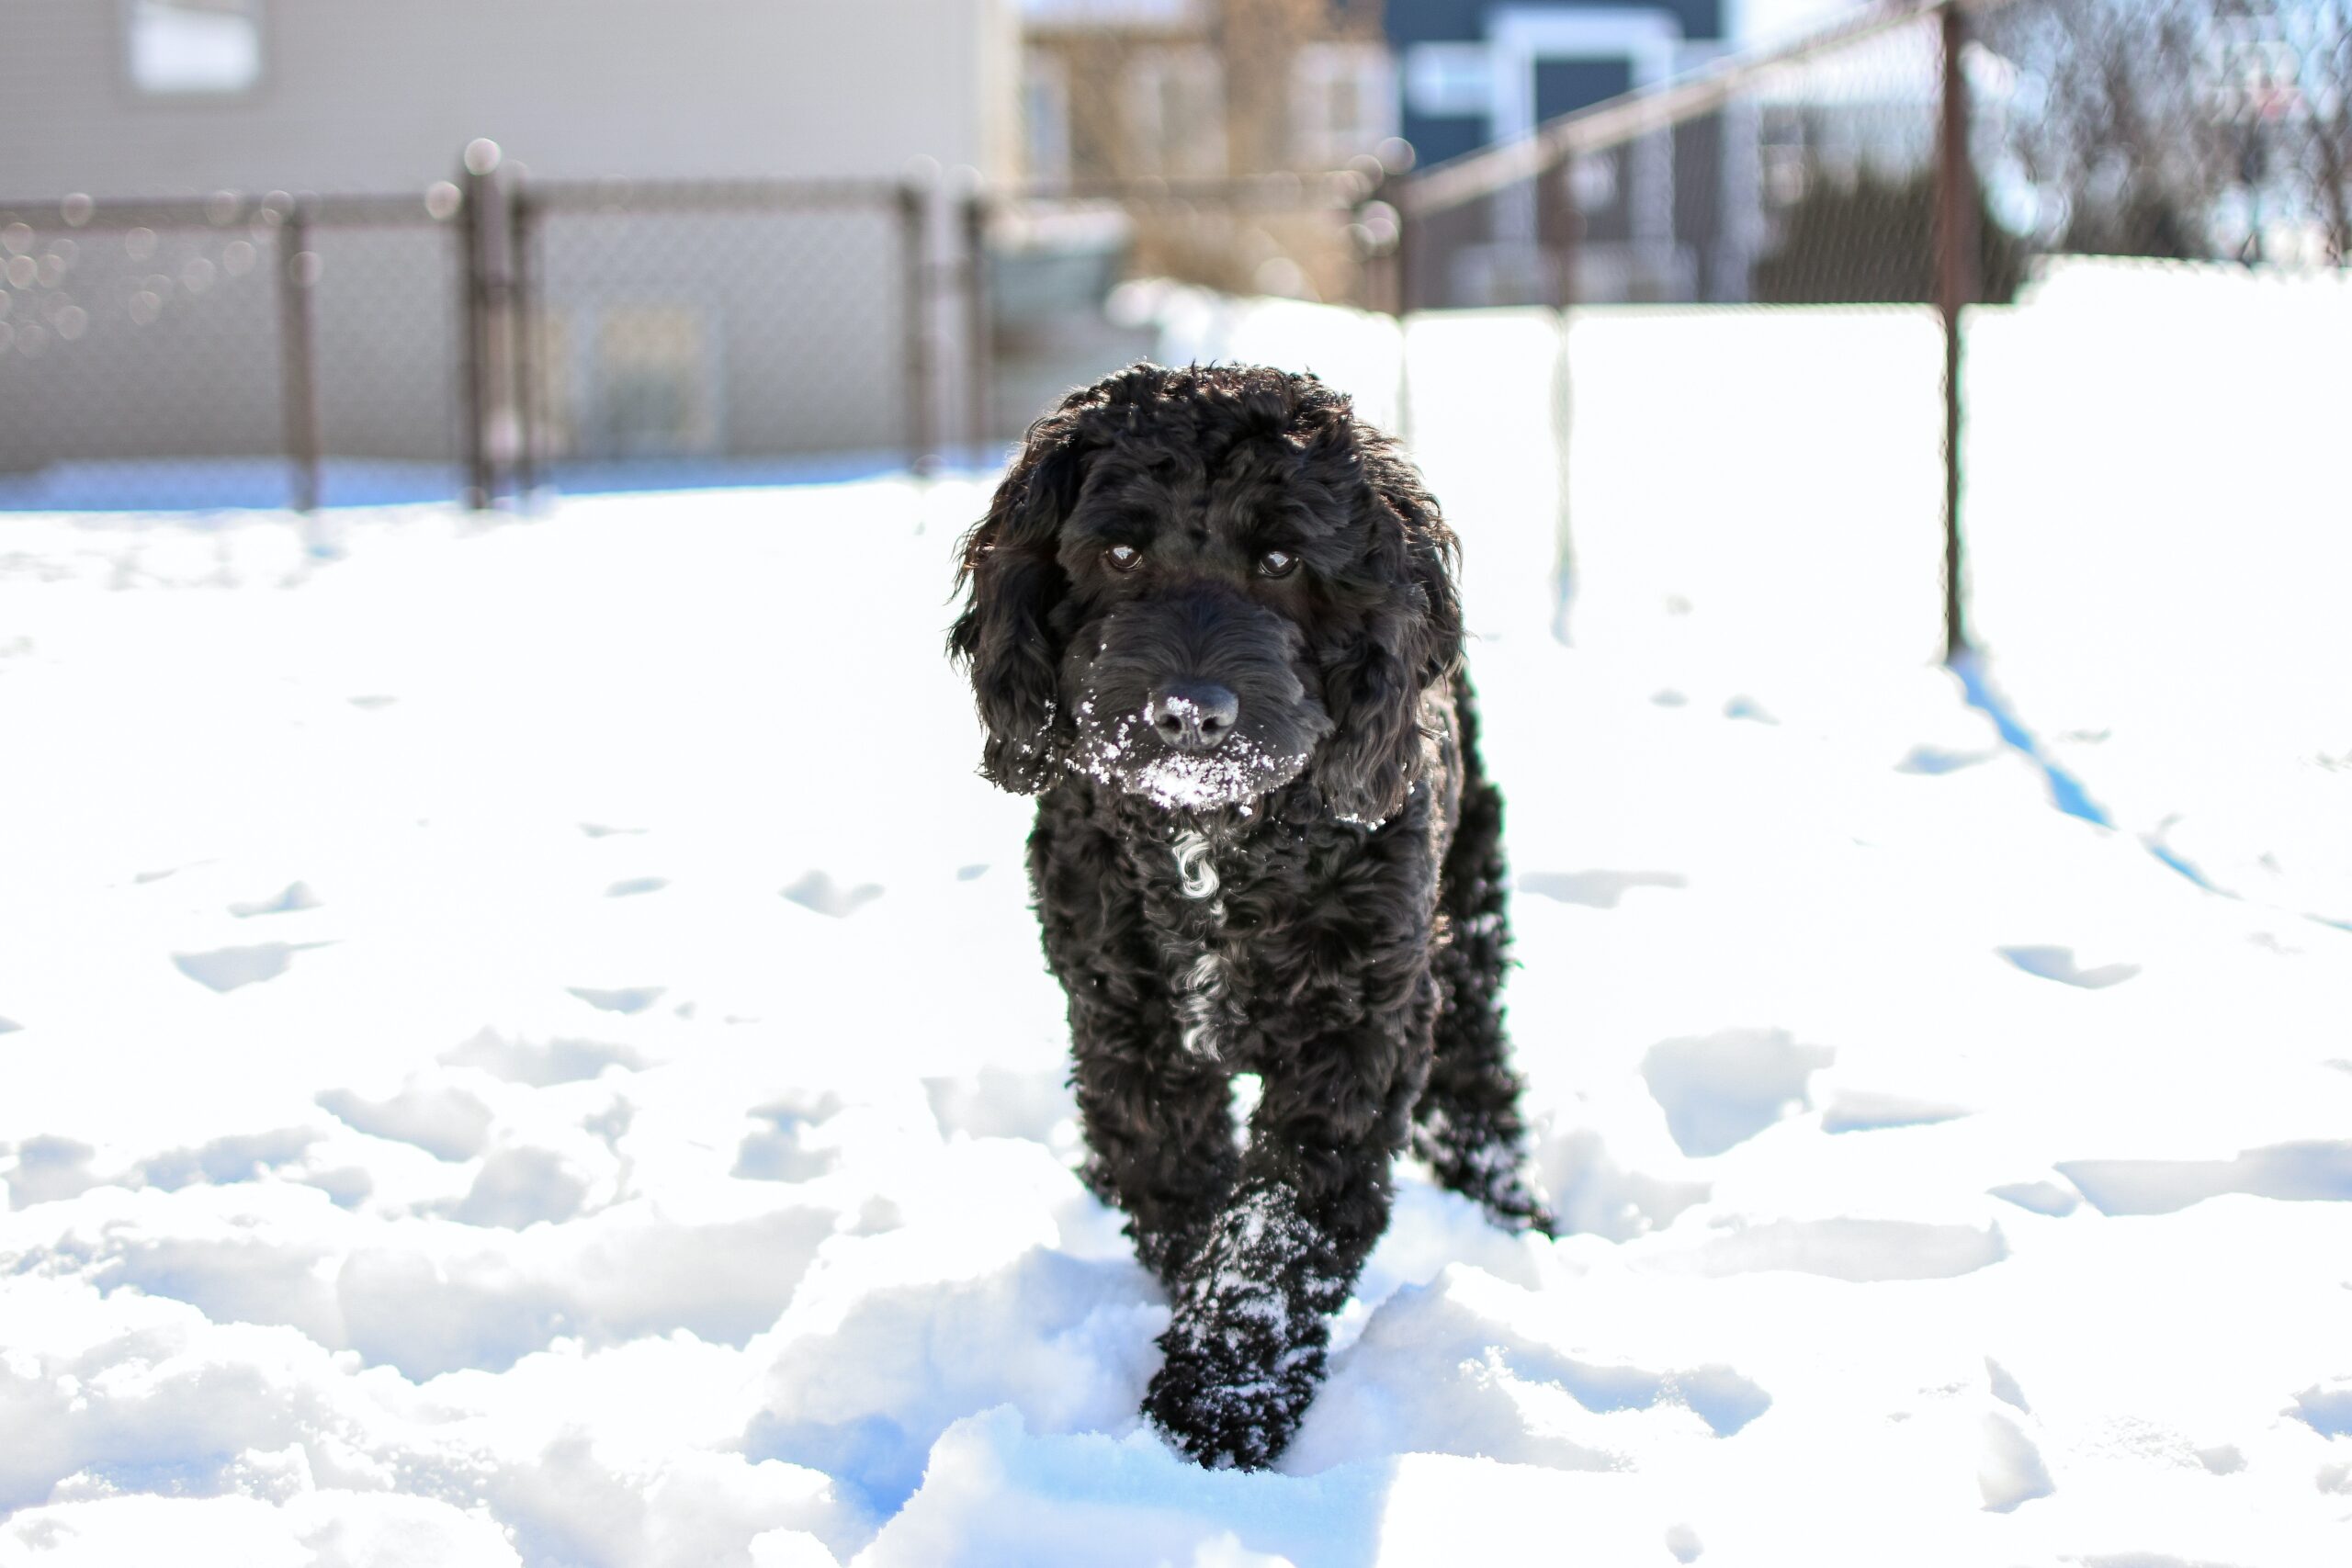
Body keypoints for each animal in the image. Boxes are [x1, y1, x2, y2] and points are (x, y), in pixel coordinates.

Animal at [945, 364, 1552, 1476]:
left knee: (1479, 1081)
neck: (1212, 849)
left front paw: (1215, 1416)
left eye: (1280, 560)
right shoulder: (1127, 1029)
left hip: (1467, 915)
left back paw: (1515, 1223)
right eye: (1120, 551)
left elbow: (1275, 1233)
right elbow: (1179, 1186)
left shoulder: (1353, 1035)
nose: (1191, 711)